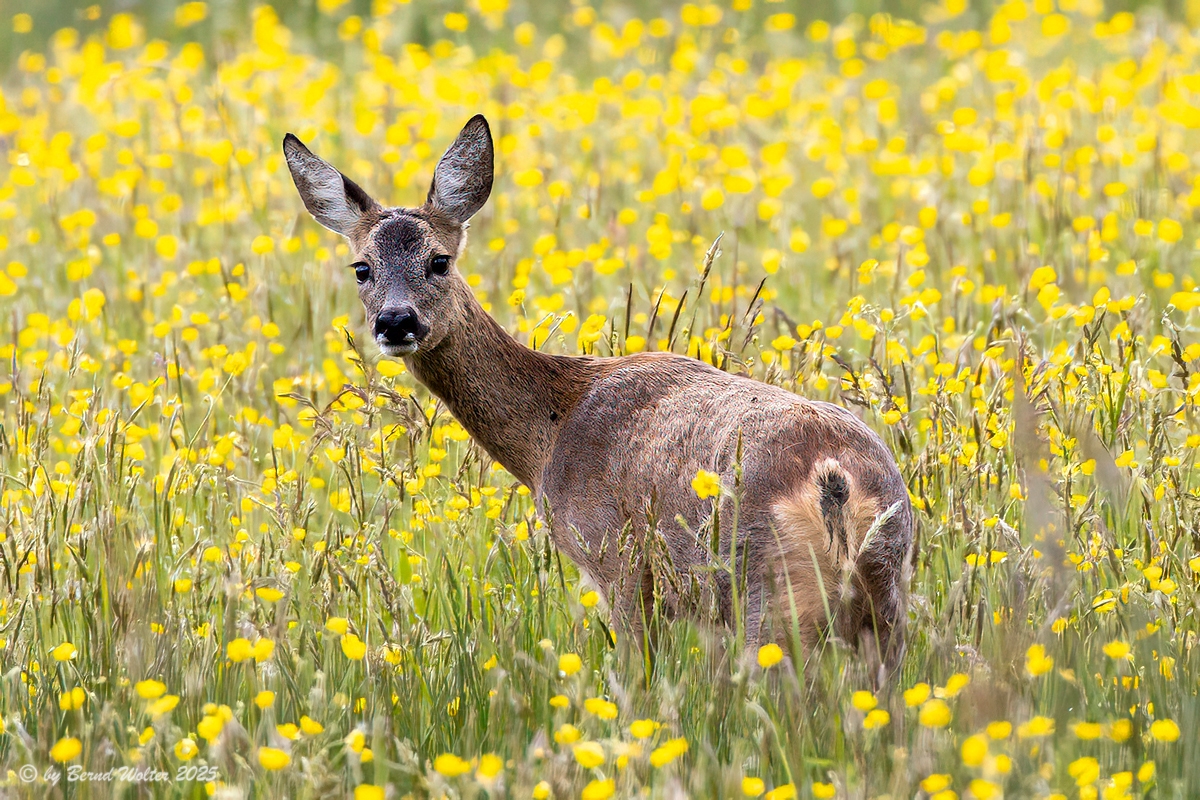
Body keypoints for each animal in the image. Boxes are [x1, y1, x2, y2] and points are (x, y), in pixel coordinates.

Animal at [283, 114, 914, 677]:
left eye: (440, 260)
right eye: (361, 267)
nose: (395, 321)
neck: (550, 430)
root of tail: (836, 477)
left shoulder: (615, 558)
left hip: (764, 587)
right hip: (884, 590)